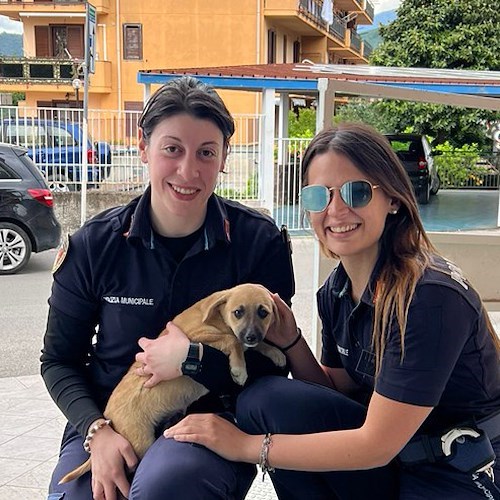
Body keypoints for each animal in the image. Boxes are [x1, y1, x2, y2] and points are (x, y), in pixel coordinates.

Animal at [59, 286, 286, 484]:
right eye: (238, 312)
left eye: (263, 312)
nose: (251, 336)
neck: (218, 317)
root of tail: (110, 419)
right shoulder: (199, 336)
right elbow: (233, 340)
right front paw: (239, 369)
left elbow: (257, 345)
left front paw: (276, 353)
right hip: (140, 443)